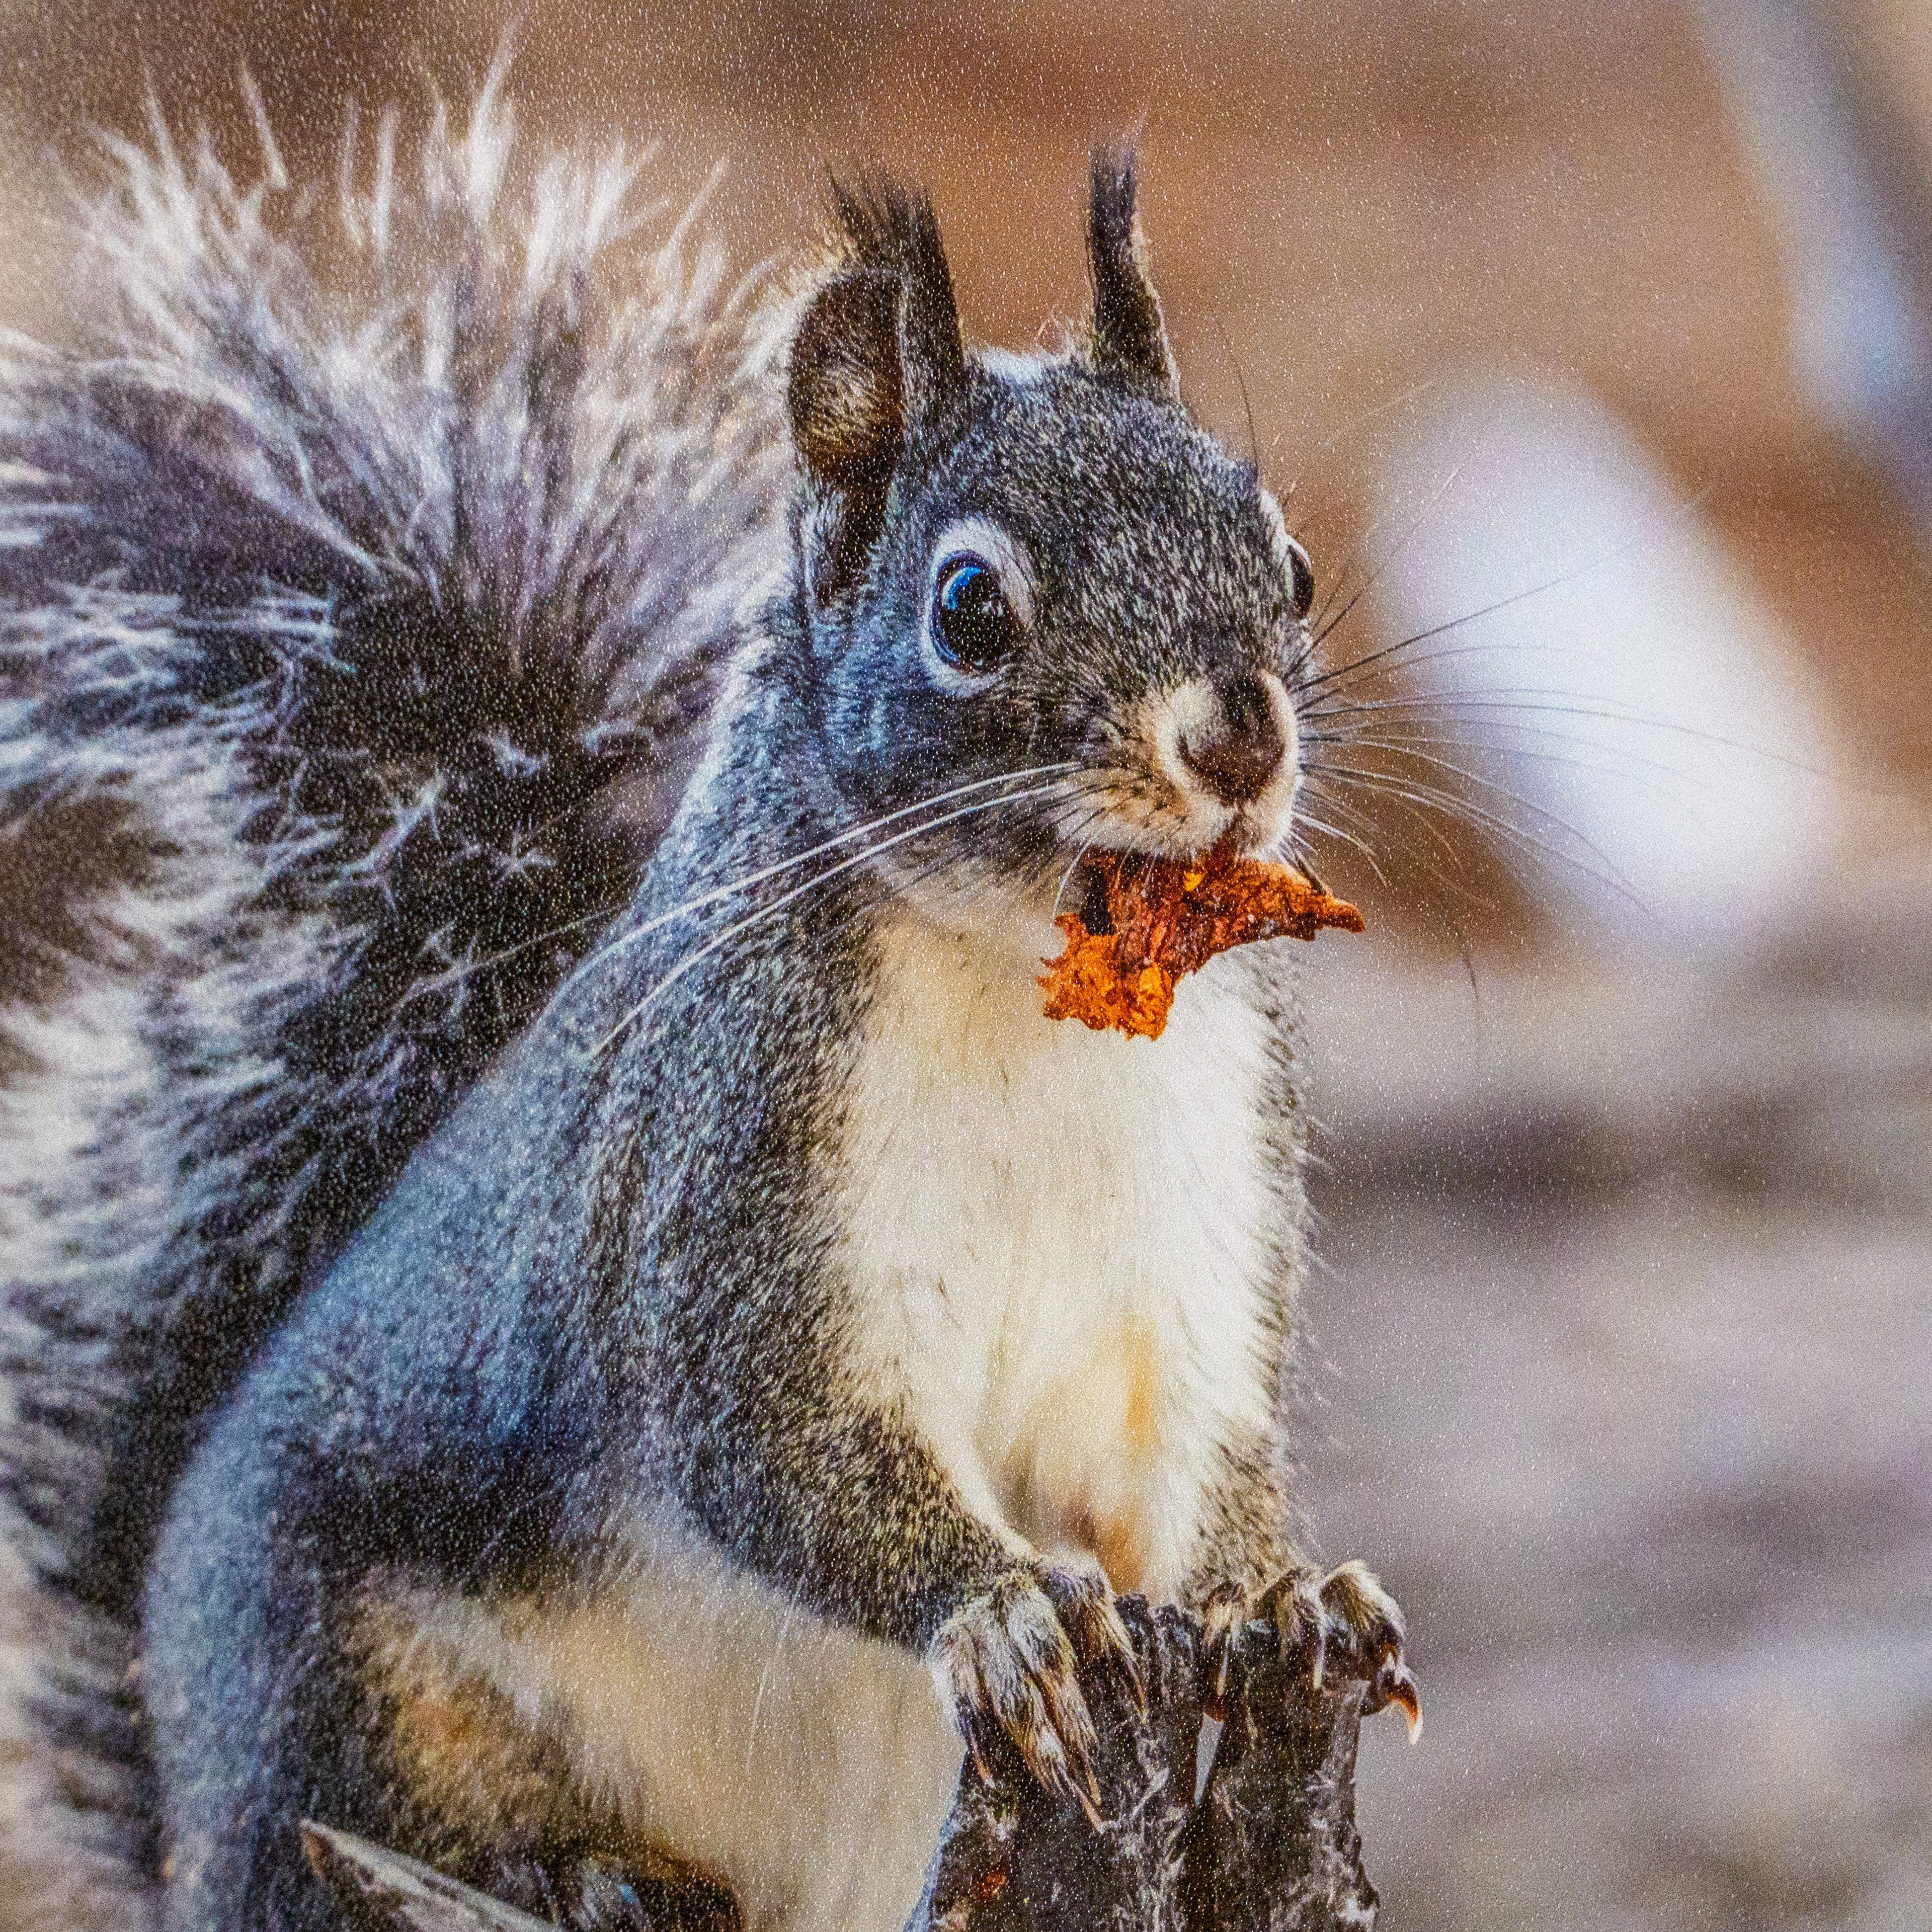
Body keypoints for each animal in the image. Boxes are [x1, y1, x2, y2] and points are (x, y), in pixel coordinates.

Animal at [0, 74, 1410, 1932]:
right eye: (971, 608)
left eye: (1293, 562)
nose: (1242, 739)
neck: (1042, 996)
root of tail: (179, 1832)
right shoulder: (730, 1171)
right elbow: (780, 1449)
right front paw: (1003, 1614)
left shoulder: (1197, 1243)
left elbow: (1194, 1471)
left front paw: (1287, 1602)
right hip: (329, 1706)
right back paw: (584, 1865)